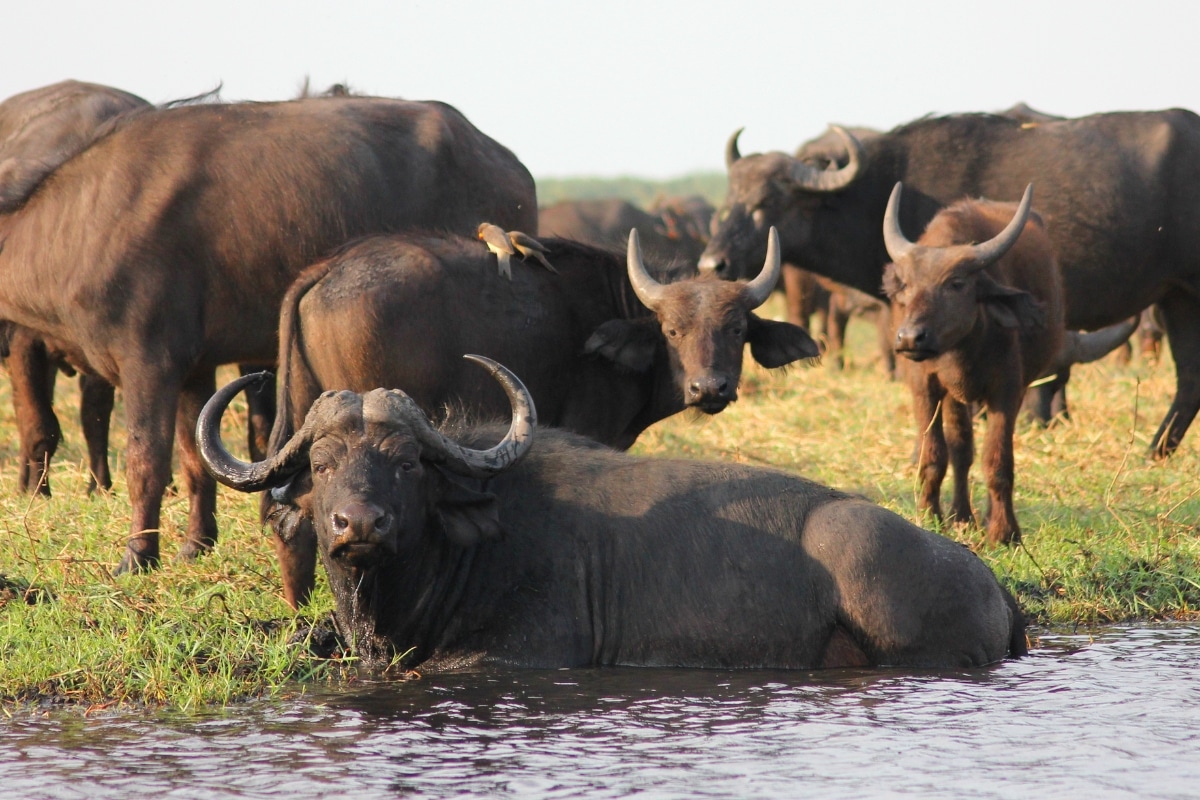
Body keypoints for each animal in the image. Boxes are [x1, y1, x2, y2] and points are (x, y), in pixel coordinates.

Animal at [0, 92, 537, 572]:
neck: (81, 223)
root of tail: (506, 160)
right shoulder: (195, 369)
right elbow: (196, 461)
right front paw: (195, 545)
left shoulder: (148, 363)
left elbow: (146, 461)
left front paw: (137, 557)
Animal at [701, 110, 1200, 456]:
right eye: (730, 199)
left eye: (767, 201)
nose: (712, 263)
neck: (884, 192)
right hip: (1177, 298)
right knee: (1189, 380)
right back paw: (1155, 452)